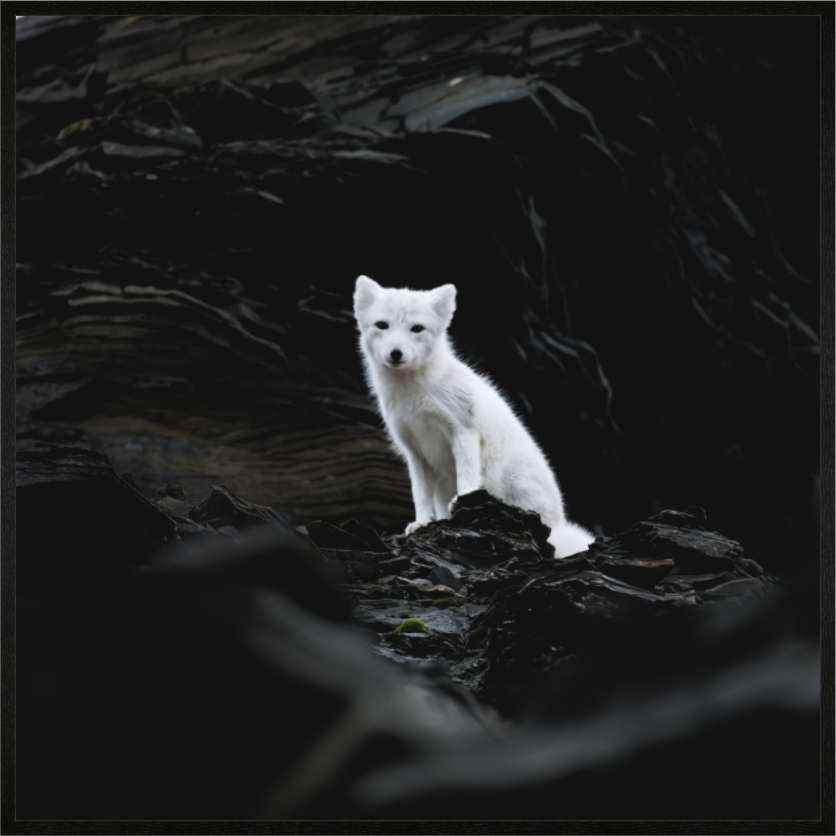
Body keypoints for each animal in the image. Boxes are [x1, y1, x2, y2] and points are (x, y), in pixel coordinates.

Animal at [353, 275, 595, 559]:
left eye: (417, 329)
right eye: (382, 325)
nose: (396, 353)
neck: (414, 394)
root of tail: (558, 524)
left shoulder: (463, 431)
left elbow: (466, 477)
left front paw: (462, 504)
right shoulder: (414, 450)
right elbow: (419, 494)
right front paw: (422, 523)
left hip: (504, 475)